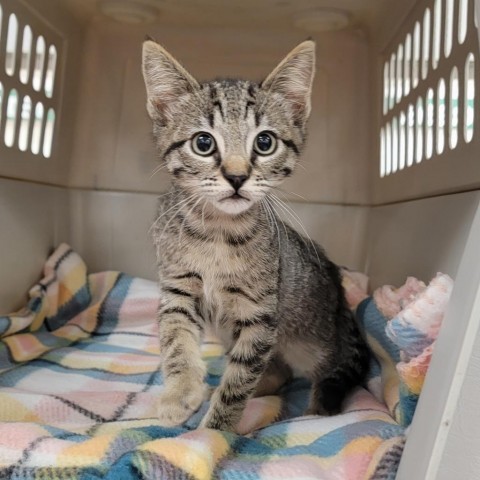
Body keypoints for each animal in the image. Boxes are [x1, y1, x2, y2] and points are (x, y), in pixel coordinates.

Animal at [141, 38, 370, 432]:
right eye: (203, 143)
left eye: (264, 142)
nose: (236, 177)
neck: (217, 233)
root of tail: (342, 300)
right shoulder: (177, 289)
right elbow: (176, 339)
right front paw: (180, 392)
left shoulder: (259, 318)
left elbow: (238, 384)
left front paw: (213, 432)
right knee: (277, 371)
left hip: (314, 344)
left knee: (321, 372)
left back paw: (313, 412)